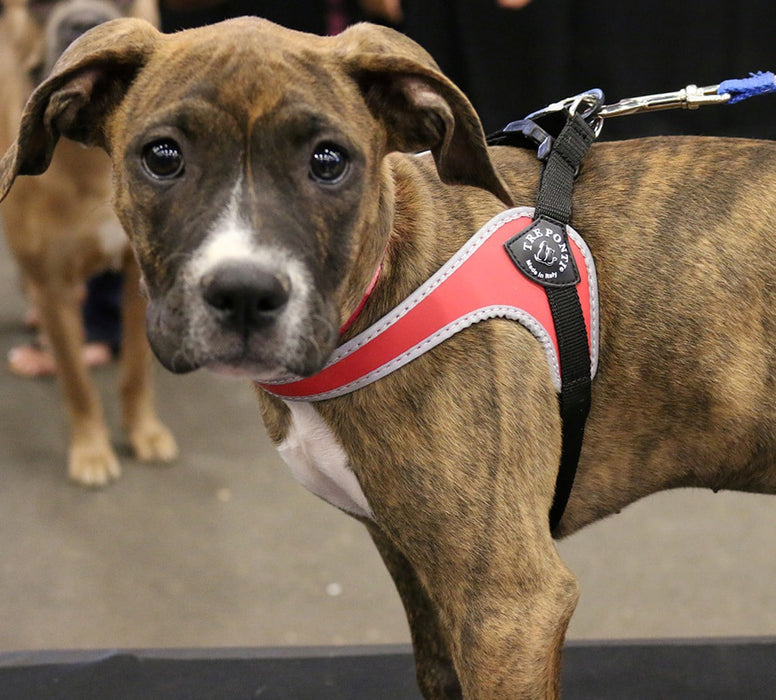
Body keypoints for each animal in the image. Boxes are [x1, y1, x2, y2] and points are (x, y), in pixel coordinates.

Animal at [0, 0, 177, 484]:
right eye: (38, 6)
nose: (86, 23)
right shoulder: (53, 287)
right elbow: (77, 382)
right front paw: (91, 449)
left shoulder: (141, 279)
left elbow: (135, 370)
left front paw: (143, 431)